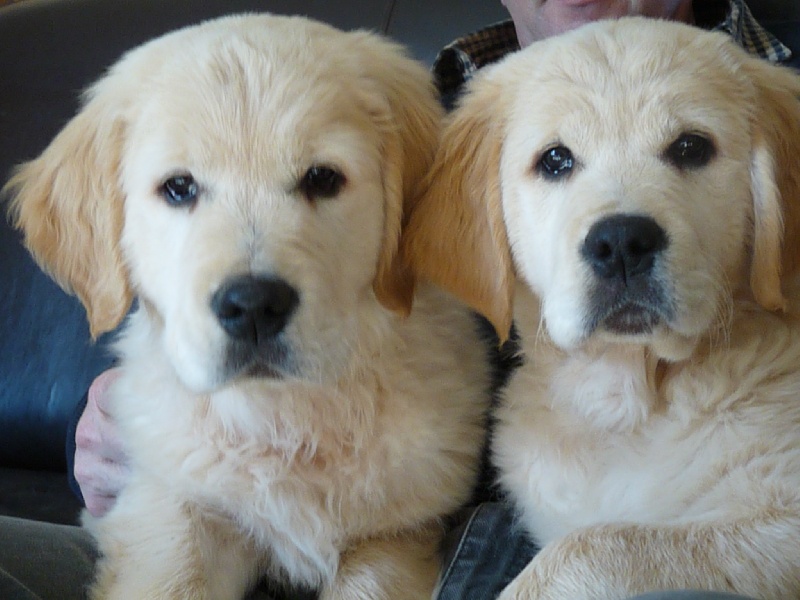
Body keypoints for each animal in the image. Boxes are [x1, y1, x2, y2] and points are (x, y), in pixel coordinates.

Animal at [5, 14, 493, 599]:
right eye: (178, 187)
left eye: (323, 178)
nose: (254, 305)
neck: (282, 417)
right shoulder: (172, 508)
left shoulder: (395, 534)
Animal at [403, 17, 800, 600]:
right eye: (555, 160)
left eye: (690, 148)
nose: (622, 244)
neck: (629, 397)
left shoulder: (779, 524)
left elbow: (600, 541)